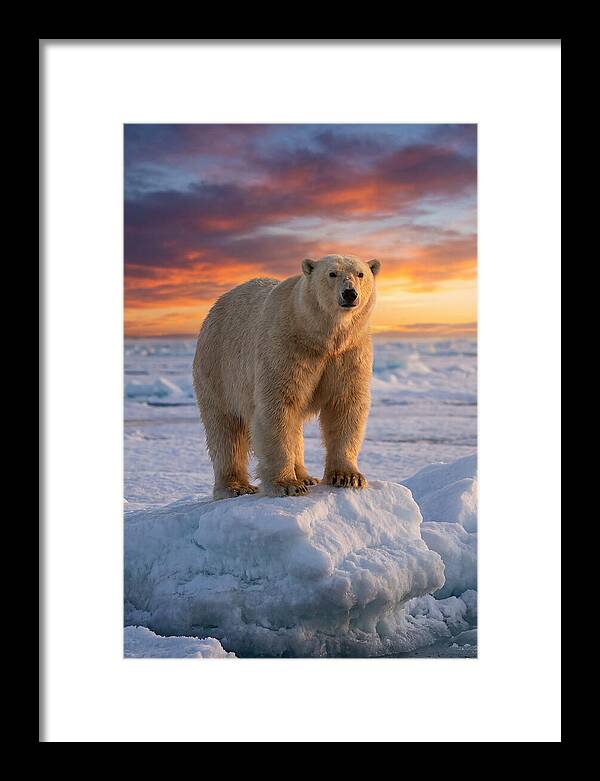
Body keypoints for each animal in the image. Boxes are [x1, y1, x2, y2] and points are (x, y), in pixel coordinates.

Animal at [192, 254, 381, 499]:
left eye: (360, 274)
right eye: (332, 273)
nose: (350, 293)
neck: (319, 336)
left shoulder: (349, 353)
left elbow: (345, 405)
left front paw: (348, 477)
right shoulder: (285, 347)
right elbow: (278, 406)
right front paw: (287, 484)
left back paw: (306, 476)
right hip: (218, 368)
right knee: (226, 429)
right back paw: (236, 486)